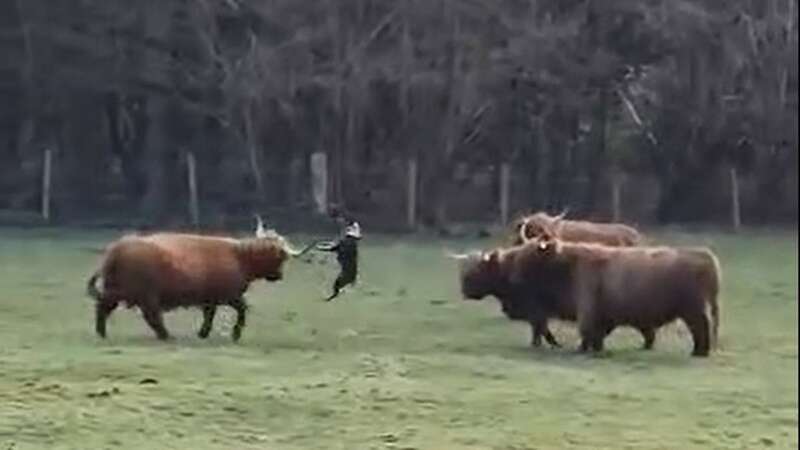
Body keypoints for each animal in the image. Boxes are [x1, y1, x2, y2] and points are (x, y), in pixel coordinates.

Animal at [85, 218, 316, 342]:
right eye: (280, 257)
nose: (279, 276)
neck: (240, 257)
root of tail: (117, 248)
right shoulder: (230, 295)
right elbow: (242, 310)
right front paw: (235, 334)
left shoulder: (210, 298)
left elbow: (209, 315)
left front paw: (203, 333)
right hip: (142, 293)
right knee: (149, 314)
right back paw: (165, 335)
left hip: (119, 290)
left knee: (105, 307)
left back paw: (102, 333)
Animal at [456, 236, 724, 358]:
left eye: (527, 259)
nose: (464, 290)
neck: (563, 265)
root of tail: (704, 255)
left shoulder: (581, 310)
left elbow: (577, 331)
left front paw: (576, 349)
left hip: (693, 311)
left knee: (701, 329)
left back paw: (698, 352)